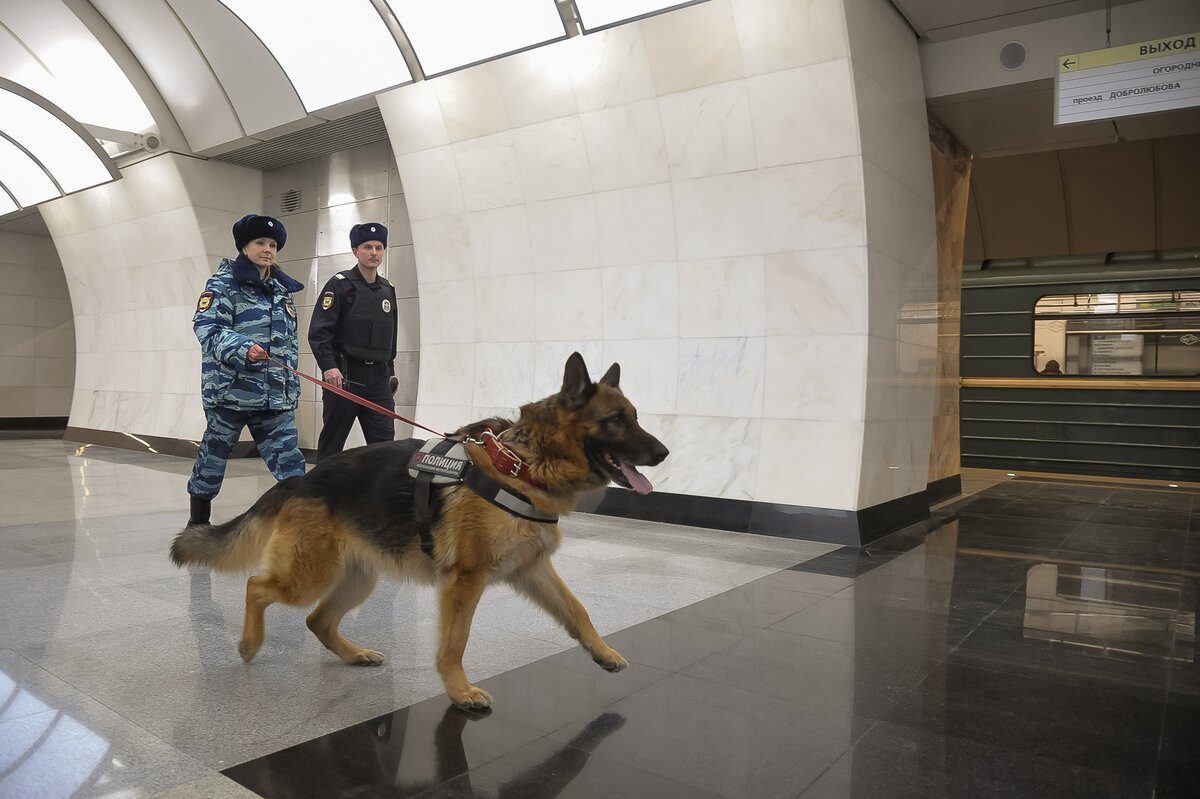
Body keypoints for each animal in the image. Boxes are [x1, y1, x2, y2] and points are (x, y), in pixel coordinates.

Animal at [171, 352, 667, 705]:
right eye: (617, 420)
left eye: (635, 416)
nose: (663, 453)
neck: (524, 464)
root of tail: (302, 478)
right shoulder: (465, 580)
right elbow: (455, 642)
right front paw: (459, 690)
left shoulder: (534, 570)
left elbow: (578, 611)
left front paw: (602, 652)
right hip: (308, 576)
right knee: (257, 586)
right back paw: (249, 643)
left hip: (358, 579)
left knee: (316, 620)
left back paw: (354, 654)